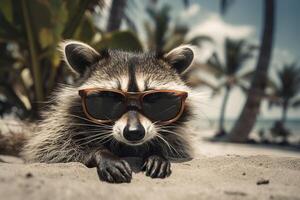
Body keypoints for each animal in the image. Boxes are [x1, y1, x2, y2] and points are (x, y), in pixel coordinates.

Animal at [22, 40, 198, 183]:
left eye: (153, 98)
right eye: (111, 97)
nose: (134, 133)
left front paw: (157, 151)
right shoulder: (62, 125)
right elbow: (53, 150)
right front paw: (101, 153)